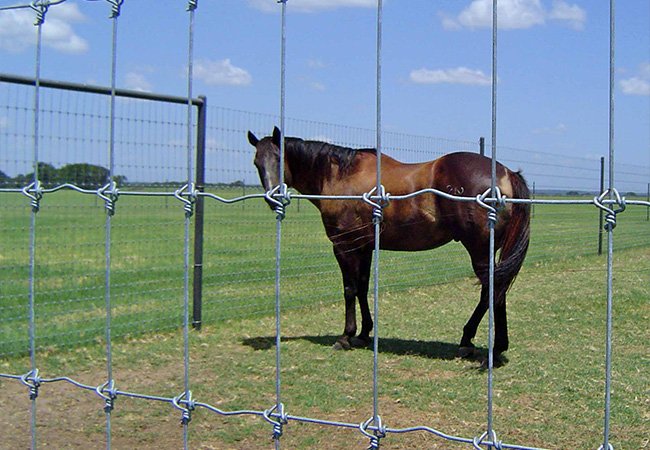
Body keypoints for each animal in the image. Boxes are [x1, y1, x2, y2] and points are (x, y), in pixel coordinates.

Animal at [246, 126, 528, 362]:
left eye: (279, 159)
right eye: (257, 162)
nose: (272, 198)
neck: (341, 176)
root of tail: (505, 173)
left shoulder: (344, 247)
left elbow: (349, 289)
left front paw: (345, 336)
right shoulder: (364, 247)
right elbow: (362, 287)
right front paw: (363, 334)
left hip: (479, 251)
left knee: (491, 290)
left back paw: (474, 341)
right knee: (497, 290)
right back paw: (491, 345)